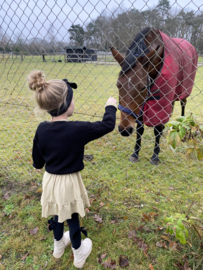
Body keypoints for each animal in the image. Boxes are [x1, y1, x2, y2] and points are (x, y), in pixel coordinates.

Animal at [110, 26, 197, 165]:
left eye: (143, 87)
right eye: (118, 85)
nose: (125, 130)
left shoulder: (162, 101)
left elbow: (158, 129)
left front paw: (155, 155)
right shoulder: (142, 105)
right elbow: (140, 129)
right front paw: (135, 153)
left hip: (184, 91)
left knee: (183, 104)